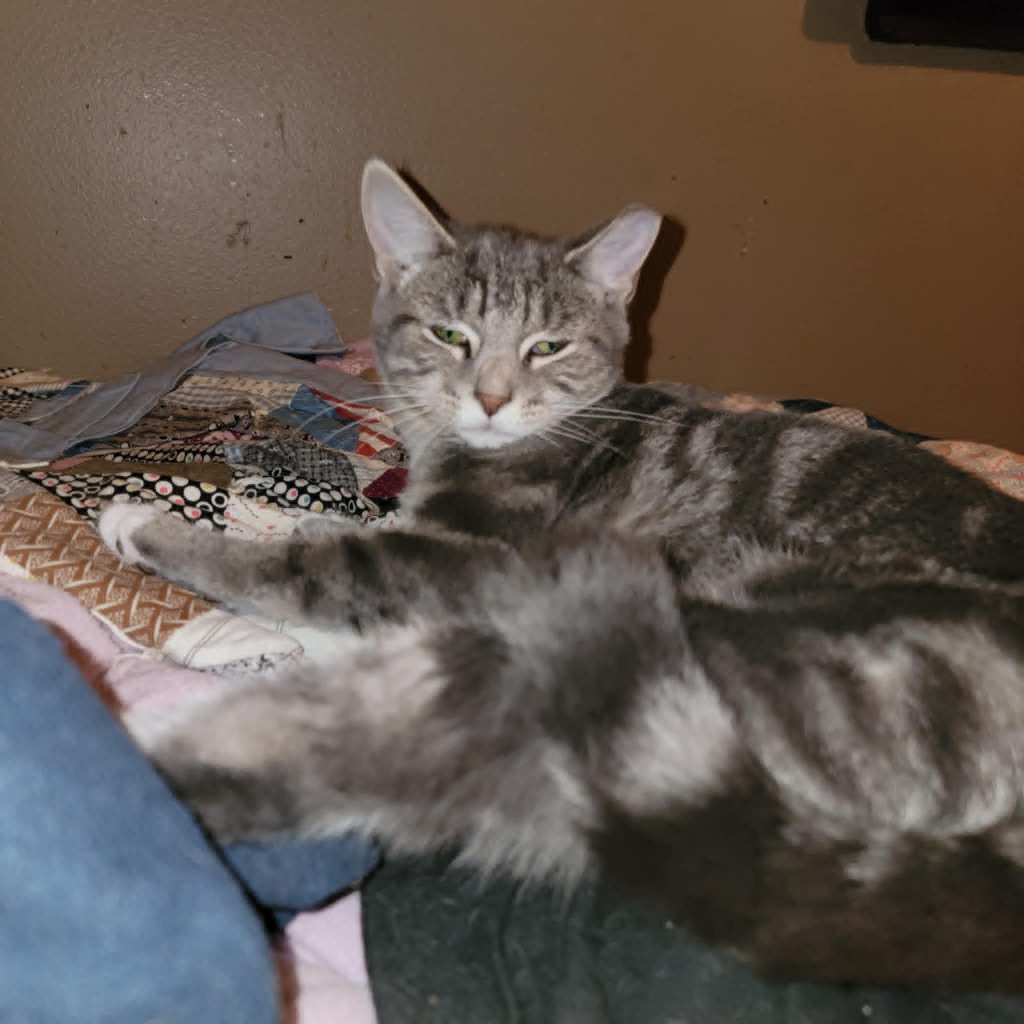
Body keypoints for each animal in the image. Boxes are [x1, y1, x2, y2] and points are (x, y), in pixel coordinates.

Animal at [99, 157, 1024, 991]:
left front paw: (154, 528)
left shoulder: (463, 557)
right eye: (450, 334)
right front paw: (290, 518)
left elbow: (316, 565)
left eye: (547, 347)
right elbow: (346, 527)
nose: (492, 399)